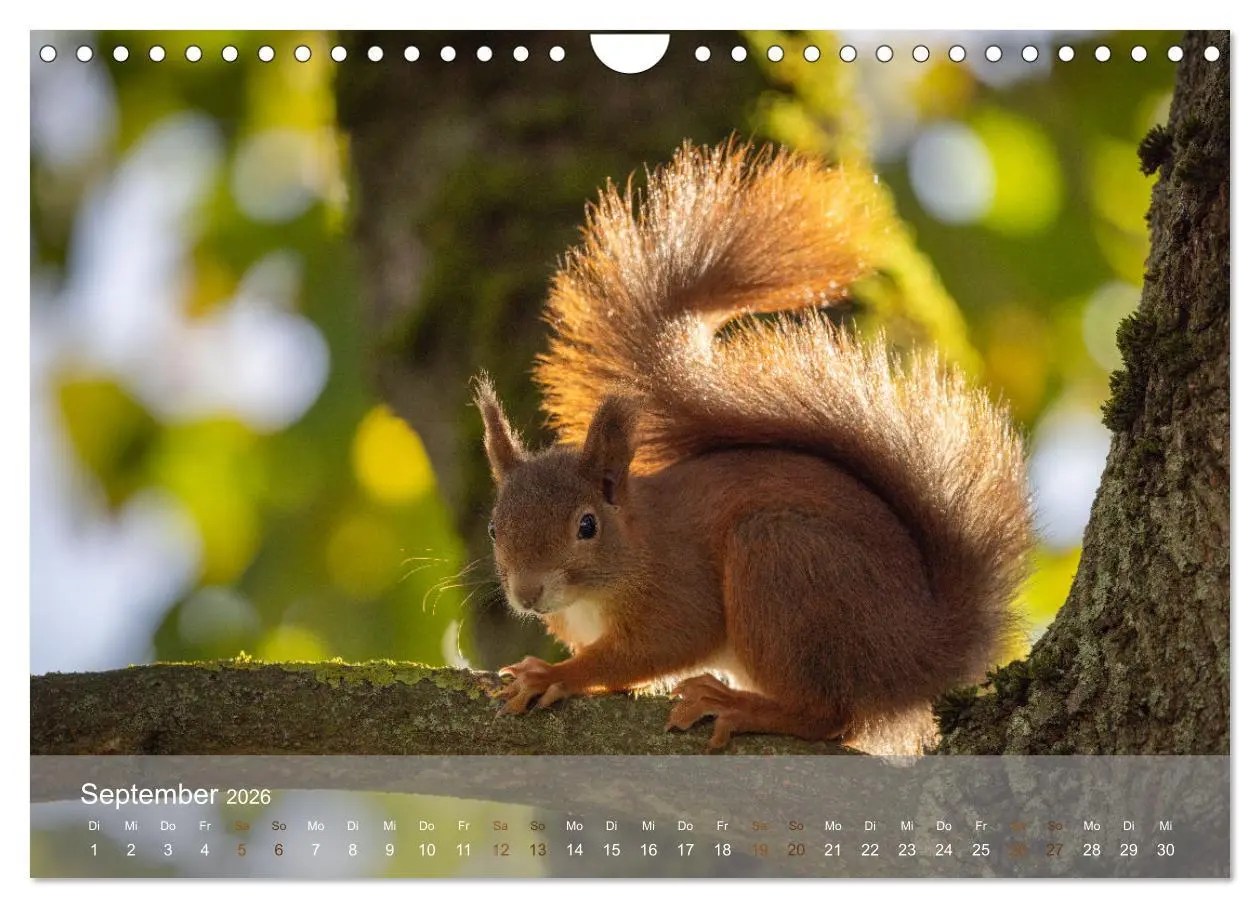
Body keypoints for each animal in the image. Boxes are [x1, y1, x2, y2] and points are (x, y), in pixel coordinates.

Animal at [474, 140, 1033, 754]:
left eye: (587, 525)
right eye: (494, 528)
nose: (527, 593)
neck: (634, 543)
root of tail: (923, 656)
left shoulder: (680, 587)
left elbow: (661, 645)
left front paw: (556, 675)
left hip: (782, 565)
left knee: (826, 714)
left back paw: (740, 706)